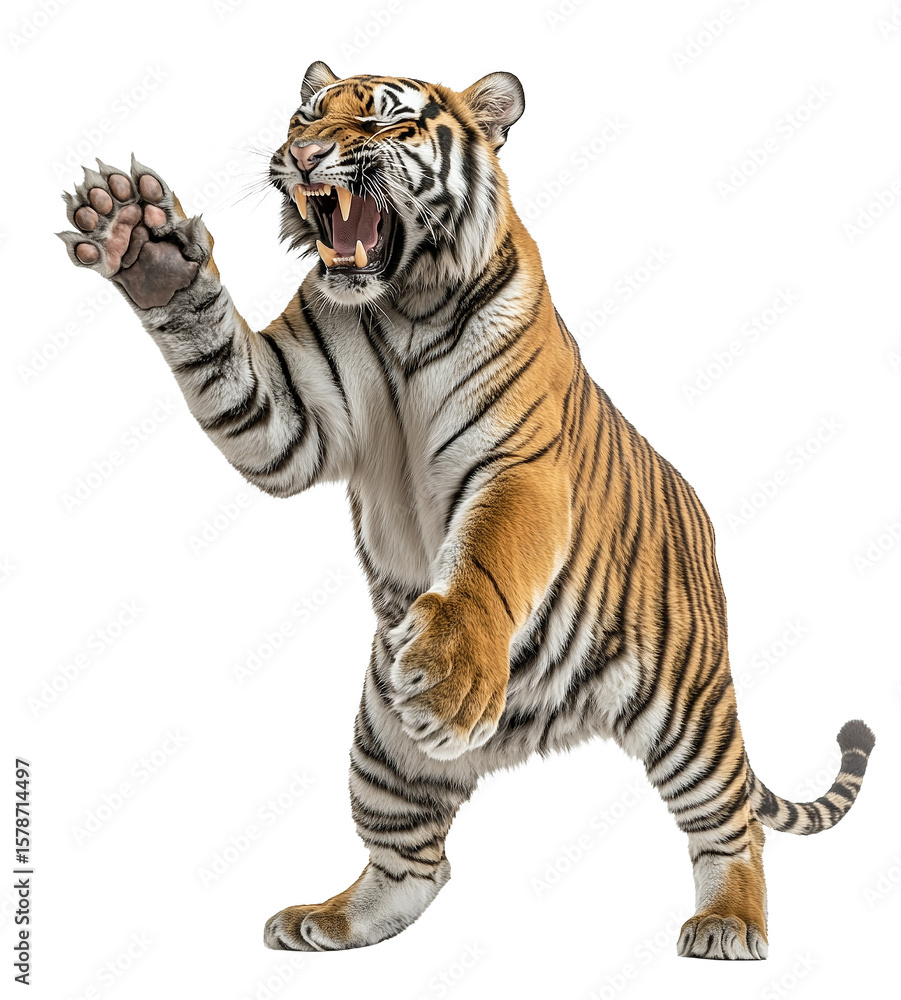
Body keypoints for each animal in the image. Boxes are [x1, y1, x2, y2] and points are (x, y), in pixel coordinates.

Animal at [58, 61, 875, 960]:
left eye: (382, 124)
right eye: (304, 116)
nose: (302, 156)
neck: (403, 298)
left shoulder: (514, 462)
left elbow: (490, 554)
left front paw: (452, 672)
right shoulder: (295, 414)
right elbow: (229, 367)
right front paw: (144, 244)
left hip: (687, 713)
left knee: (732, 823)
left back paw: (727, 921)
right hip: (383, 740)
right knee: (415, 865)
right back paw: (329, 921)